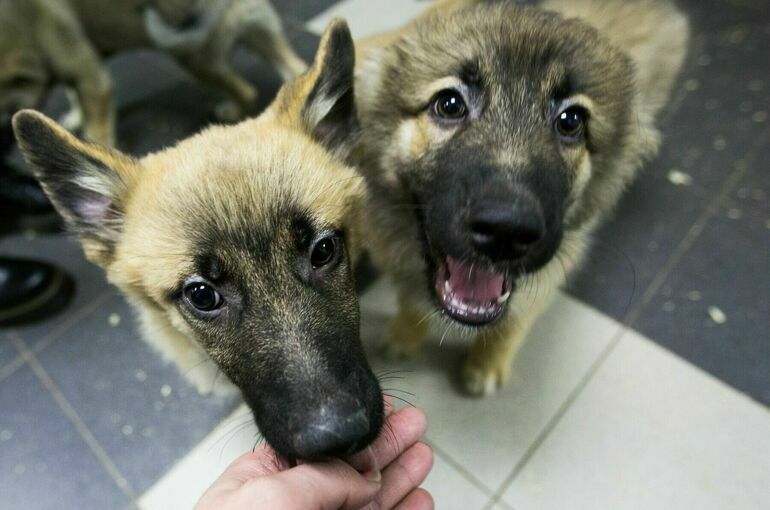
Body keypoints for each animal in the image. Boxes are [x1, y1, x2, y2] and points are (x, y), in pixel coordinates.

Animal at [0, 0, 306, 147]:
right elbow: (74, 97)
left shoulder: (92, 78)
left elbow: (96, 129)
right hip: (262, 33)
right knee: (293, 69)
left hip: (196, 61)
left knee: (246, 91)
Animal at [352, 0, 688, 396]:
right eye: (449, 104)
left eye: (571, 120)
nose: (506, 232)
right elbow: (411, 302)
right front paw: (405, 336)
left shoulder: (558, 259)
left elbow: (515, 320)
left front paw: (485, 363)